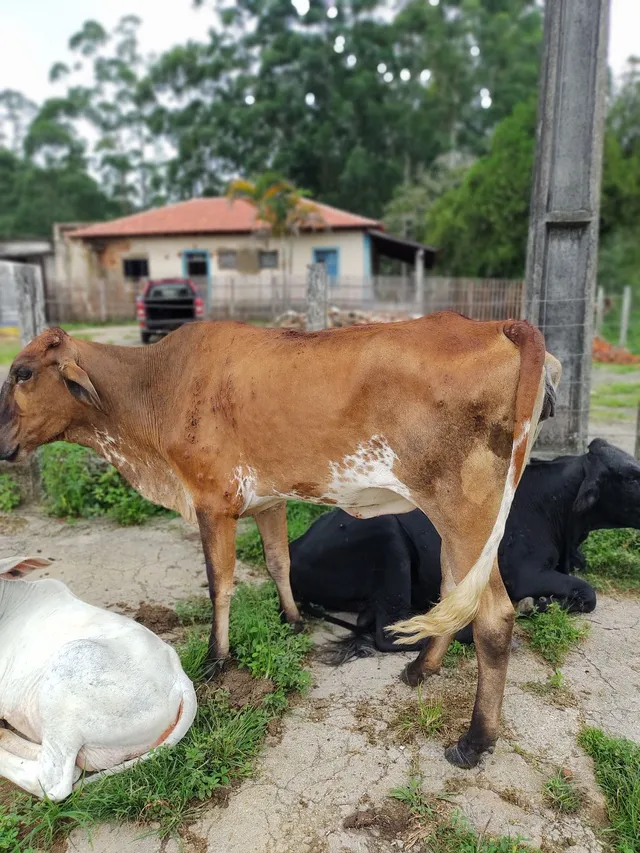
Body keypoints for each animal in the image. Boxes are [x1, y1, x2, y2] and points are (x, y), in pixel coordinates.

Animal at [0, 313, 560, 768]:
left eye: (22, 372)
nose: (0, 444)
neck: (155, 386)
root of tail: (499, 325)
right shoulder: (268, 502)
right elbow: (277, 562)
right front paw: (292, 620)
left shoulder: (213, 502)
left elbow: (219, 583)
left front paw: (217, 658)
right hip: (455, 520)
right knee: (454, 592)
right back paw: (422, 667)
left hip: (465, 509)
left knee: (493, 617)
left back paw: (474, 741)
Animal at [291, 438, 640, 661]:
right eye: (632, 477)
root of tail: (295, 547)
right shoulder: (524, 574)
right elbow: (588, 593)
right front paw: (536, 603)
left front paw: (541, 603)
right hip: (387, 537)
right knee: (388, 633)